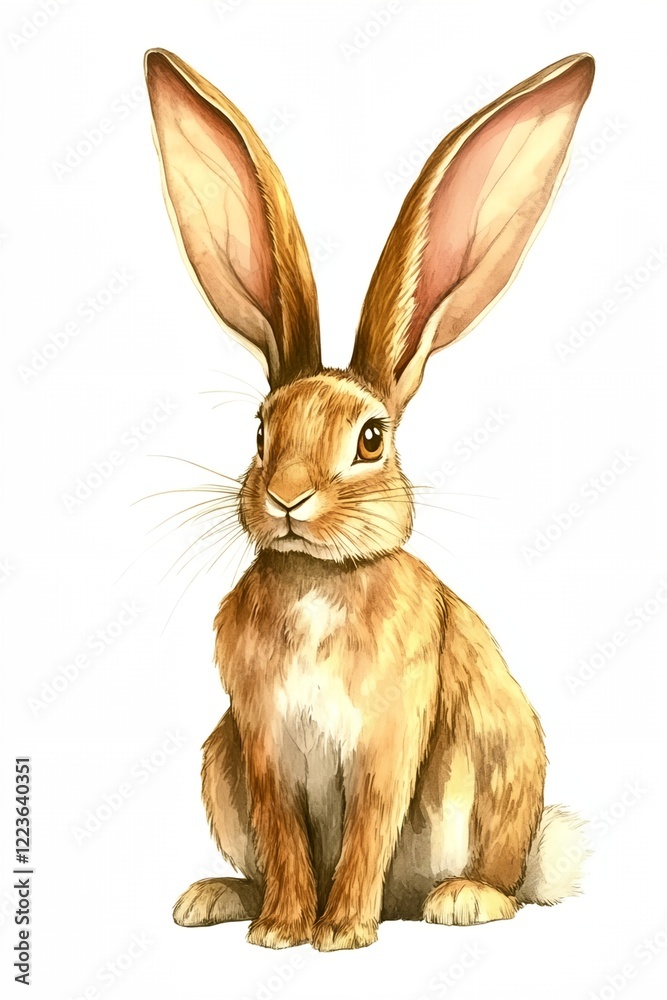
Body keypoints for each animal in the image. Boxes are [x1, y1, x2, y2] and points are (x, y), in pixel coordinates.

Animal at [145, 48, 594, 951]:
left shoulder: (389, 742)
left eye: (371, 439)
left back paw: (459, 901)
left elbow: (368, 830)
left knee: (495, 883)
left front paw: (342, 934)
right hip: (217, 763)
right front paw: (281, 932)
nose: (287, 498)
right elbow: (285, 839)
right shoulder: (262, 749)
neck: (320, 580)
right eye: (259, 429)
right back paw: (213, 898)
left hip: (491, 775)